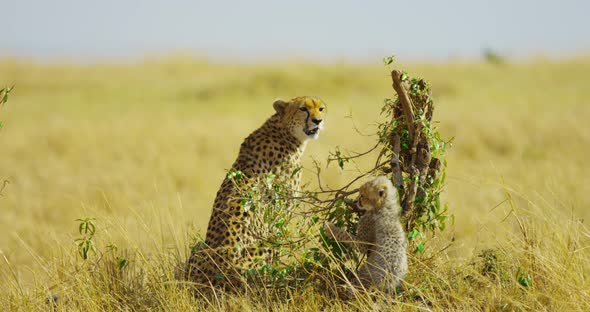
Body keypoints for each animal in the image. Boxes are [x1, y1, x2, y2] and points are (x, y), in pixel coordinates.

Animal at [186, 97, 328, 290]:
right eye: (303, 109)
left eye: (321, 109)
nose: (317, 121)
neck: (284, 131)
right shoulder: (279, 216)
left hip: (200, 247)